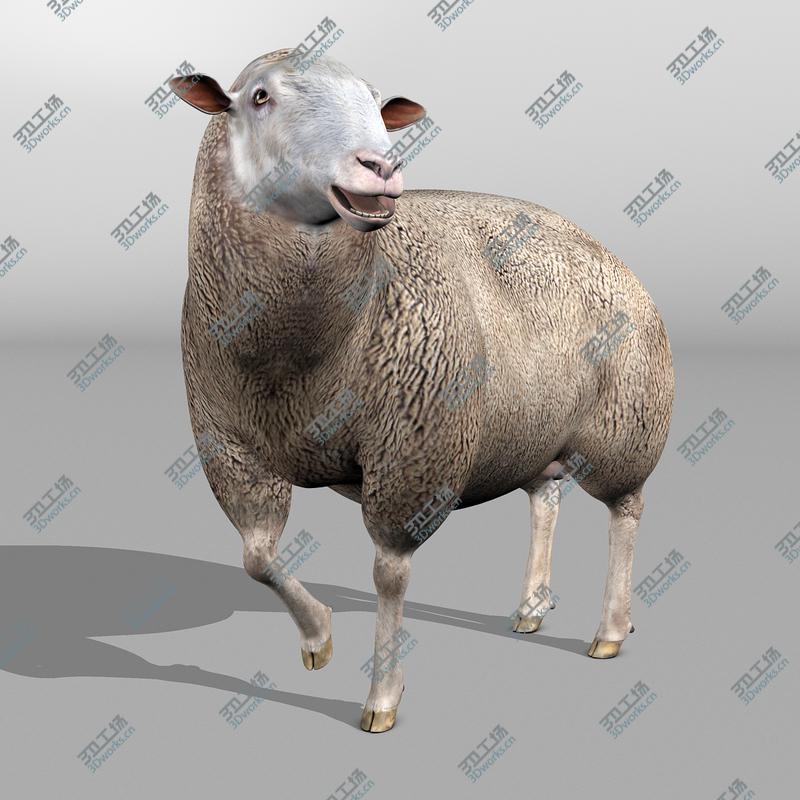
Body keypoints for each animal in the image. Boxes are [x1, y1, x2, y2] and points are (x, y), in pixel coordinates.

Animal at [169, 48, 674, 733]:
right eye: (260, 97)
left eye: (377, 103)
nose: (380, 166)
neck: (300, 358)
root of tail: (610, 253)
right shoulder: (232, 447)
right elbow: (256, 558)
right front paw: (319, 636)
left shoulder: (411, 452)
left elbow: (388, 574)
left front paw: (382, 697)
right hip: (536, 430)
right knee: (545, 497)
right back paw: (531, 608)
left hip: (626, 426)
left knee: (625, 512)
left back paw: (610, 630)